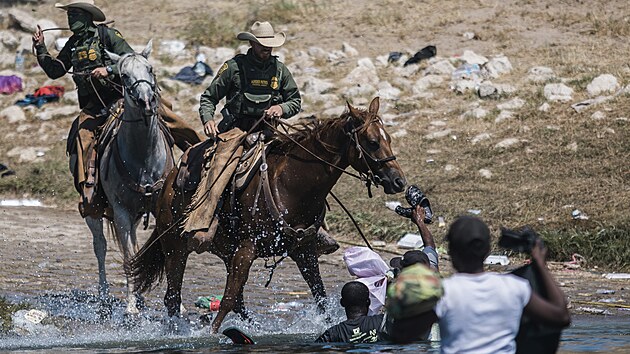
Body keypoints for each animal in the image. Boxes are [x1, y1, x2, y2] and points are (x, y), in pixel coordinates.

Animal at [85, 40, 175, 314]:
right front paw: (131, 307)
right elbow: (127, 257)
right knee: (100, 246)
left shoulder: (160, 208)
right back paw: (106, 296)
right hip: (94, 212)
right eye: (124, 76)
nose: (146, 101)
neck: (143, 158)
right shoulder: (121, 212)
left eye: (150, 68)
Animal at [128, 97, 408, 332]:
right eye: (373, 142)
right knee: (173, 297)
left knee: (237, 301)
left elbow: (320, 297)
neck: (291, 185)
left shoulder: (304, 251)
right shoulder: (247, 249)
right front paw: (212, 333)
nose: (399, 182)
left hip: (224, 250)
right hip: (175, 248)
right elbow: (227, 298)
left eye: (389, 139)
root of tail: (168, 181)